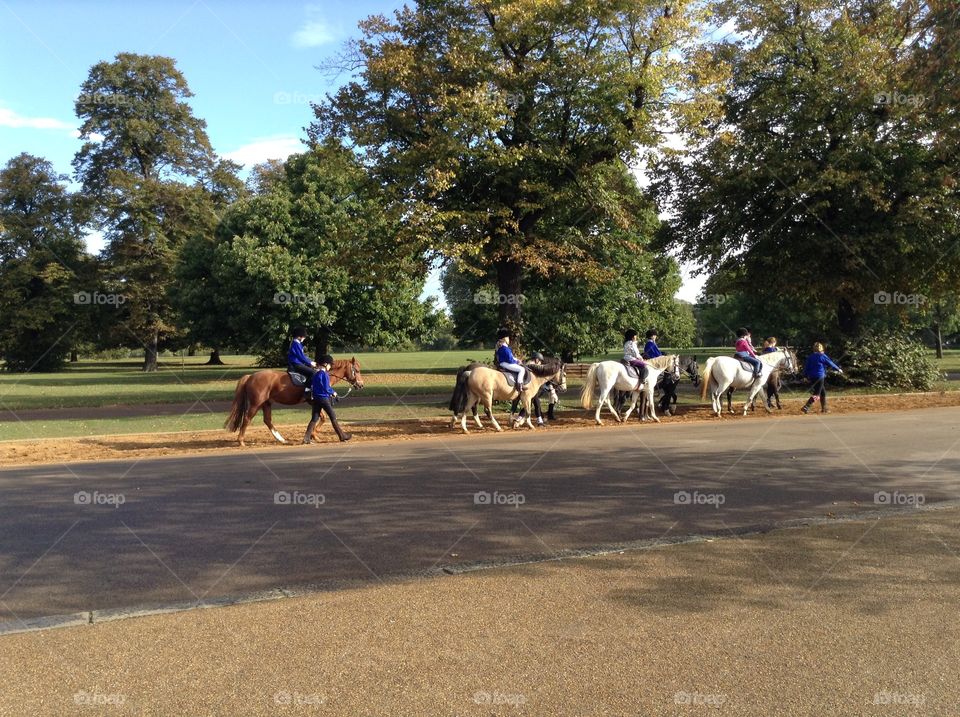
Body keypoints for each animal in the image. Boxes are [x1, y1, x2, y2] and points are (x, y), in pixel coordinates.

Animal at [225, 358, 364, 448]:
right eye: (356, 370)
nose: (361, 385)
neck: (325, 373)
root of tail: (250, 376)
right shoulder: (315, 401)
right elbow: (323, 417)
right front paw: (314, 435)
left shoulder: (315, 403)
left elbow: (321, 417)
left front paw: (314, 435)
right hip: (255, 404)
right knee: (247, 419)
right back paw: (241, 441)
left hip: (266, 404)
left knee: (268, 421)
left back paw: (281, 439)